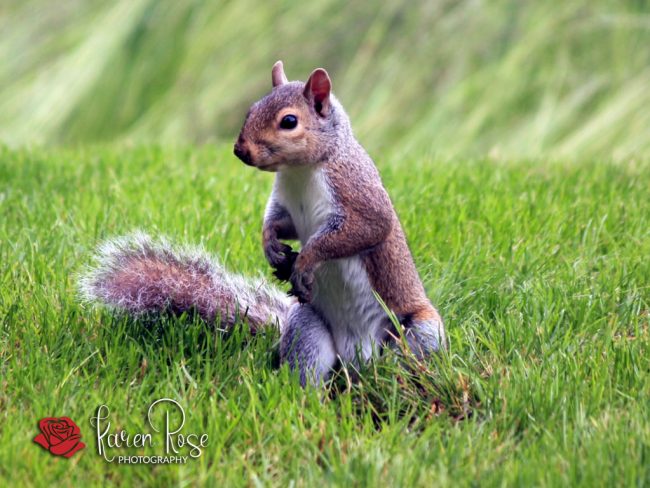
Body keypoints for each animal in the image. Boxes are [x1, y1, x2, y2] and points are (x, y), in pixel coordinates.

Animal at [80, 61, 445, 386]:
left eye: (289, 121)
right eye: (251, 110)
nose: (240, 150)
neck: (301, 171)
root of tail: (358, 361)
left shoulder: (357, 193)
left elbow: (362, 229)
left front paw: (306, 260)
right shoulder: (285, 204)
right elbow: (279, 224)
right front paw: (270, 246)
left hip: (418, 331)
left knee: (409, 357)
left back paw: (401, 379)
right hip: (307, 323)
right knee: (308, 369)